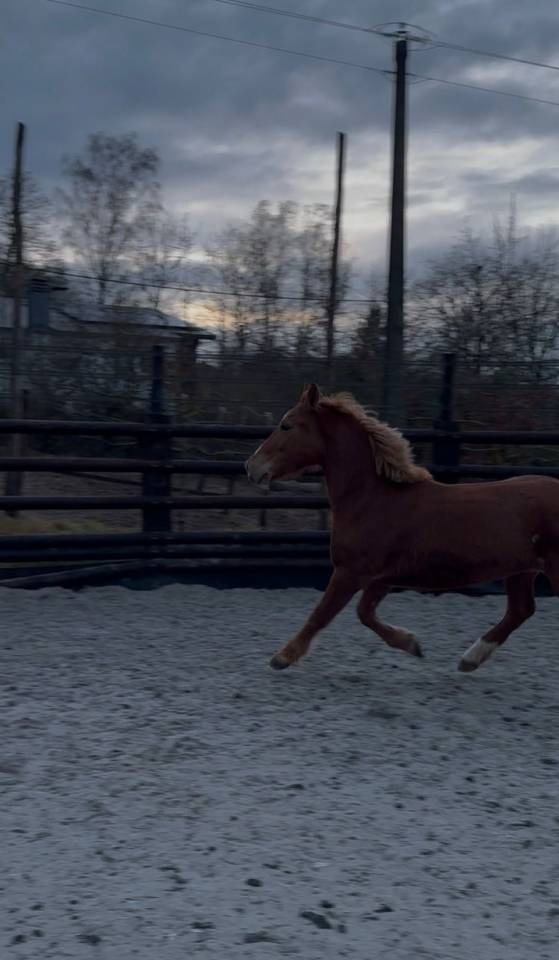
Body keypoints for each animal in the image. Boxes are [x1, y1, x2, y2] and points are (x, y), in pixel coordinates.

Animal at [246, 383, 558, 673]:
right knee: (520, 610)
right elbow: (364, 613)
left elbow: (321, 614)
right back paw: (469, 659)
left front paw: (282, 657)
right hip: (520, 571)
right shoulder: (381, 577)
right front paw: (412, 644)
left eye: (286, 425)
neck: (373, 498)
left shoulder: (350, 572)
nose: (251, 467)